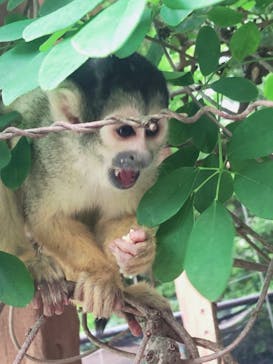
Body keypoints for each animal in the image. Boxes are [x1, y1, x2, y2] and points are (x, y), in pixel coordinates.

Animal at [0, 53, 169, 318]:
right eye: (125, 131)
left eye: (152, 129)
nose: (141, 158)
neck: (94, 161)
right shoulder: (49, 155)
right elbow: (46, 220)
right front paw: (101, 275)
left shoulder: (145, 175)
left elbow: (114, 219)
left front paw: (138, 253)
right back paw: (29, 262)